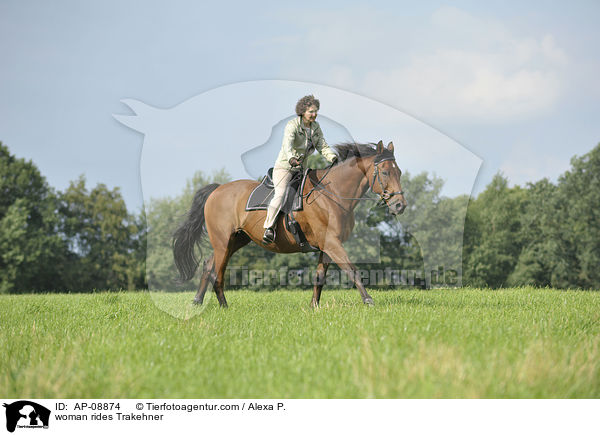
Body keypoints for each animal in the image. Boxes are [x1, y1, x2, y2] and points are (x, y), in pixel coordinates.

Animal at [173, 141, 408, 308]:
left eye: (399, 172)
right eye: (385, 172)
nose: (400, 205)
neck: (332, 194)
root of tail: (217, 190)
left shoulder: (328, 246)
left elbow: (320, 276)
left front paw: (314, 306)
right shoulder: (333, 243)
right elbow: (352, 270)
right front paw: (368, 300)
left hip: (236, 240)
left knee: (208, 264)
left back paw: (197, 301)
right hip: (223, 241)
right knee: (217, 272)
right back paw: (223, 306)